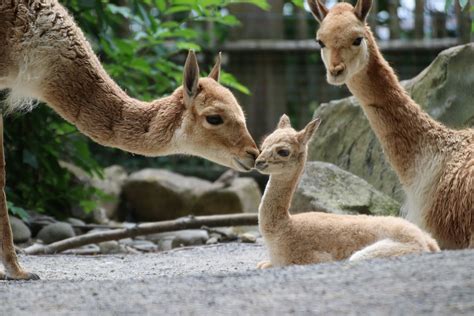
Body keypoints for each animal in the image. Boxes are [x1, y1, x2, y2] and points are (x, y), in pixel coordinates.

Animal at [256, 115, 440, 268]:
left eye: (283, 151)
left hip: (371, 253)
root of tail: (427, 241)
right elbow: (261, 265)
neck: (284, 228)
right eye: (262, 146)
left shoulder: (310, 258)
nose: (259, 162)